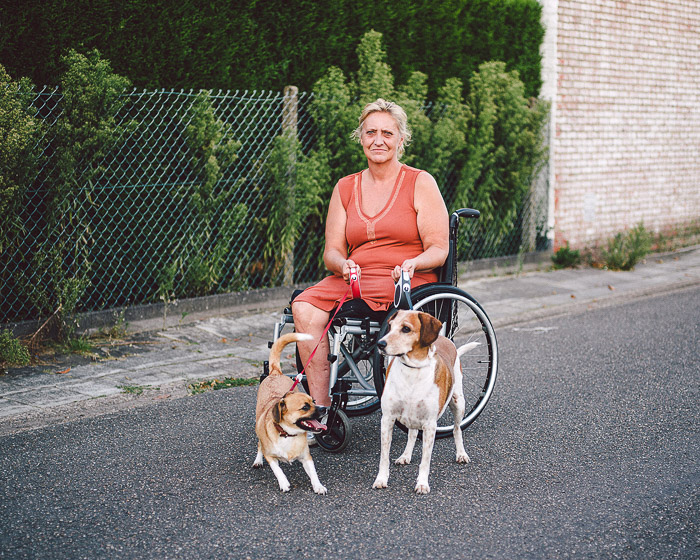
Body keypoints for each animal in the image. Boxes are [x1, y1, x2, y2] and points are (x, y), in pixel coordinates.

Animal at [252, 332, 328, 494]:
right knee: (259, 444)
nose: (325, 408)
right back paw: (258, 461)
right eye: (305, 407)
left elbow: (313, 473)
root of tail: (275, 372)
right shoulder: (270, 456)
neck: (288, 434)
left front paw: (318, 486)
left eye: (313, 400)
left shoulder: (307, 457)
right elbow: (277, 469)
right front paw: (284, 483)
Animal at [372, 310, 482, 494]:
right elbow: (384, 456)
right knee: (412, 433)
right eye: (390, 326)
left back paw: (461, 454)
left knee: (457, 429)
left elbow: (425, 459)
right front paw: (381, 479)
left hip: (458, 403)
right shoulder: (387, 419)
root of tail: (447, 339)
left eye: (406, 329)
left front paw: (422, 483)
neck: (412, 370)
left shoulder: (430, 425)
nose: (380, 344)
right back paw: (405, 455)